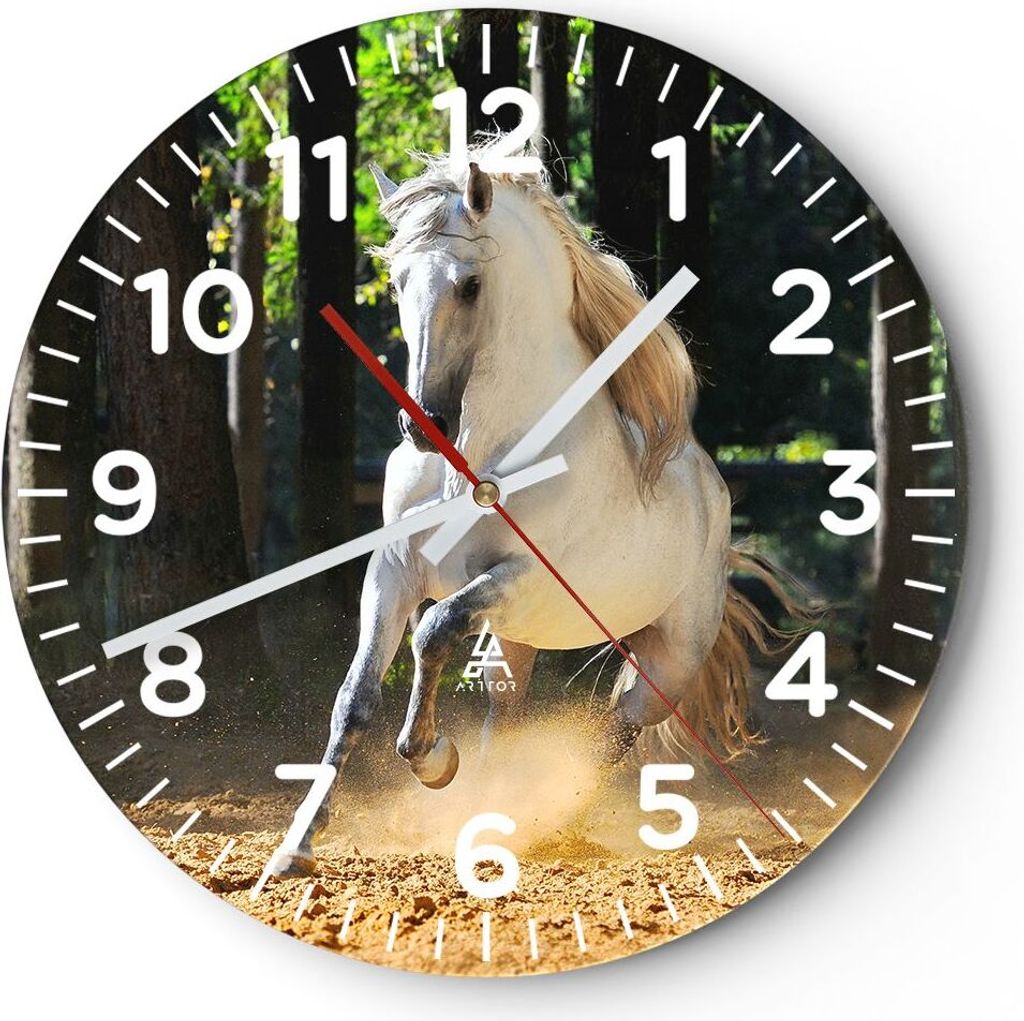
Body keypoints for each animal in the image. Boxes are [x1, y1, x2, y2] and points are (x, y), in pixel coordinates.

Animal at [274, 141, 795, 875]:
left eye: (469, 284)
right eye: (398, 282)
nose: (423, 425)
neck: (473, 459)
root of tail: (714, 499)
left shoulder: (521, 578)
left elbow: (432, 631)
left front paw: (432, 759)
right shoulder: (395, 571)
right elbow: (355, 698)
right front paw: (295, 848)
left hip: (664, 660)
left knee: (614, 729)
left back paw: (540, 820)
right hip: (514, 637)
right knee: (507, 711)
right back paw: (486, 818)